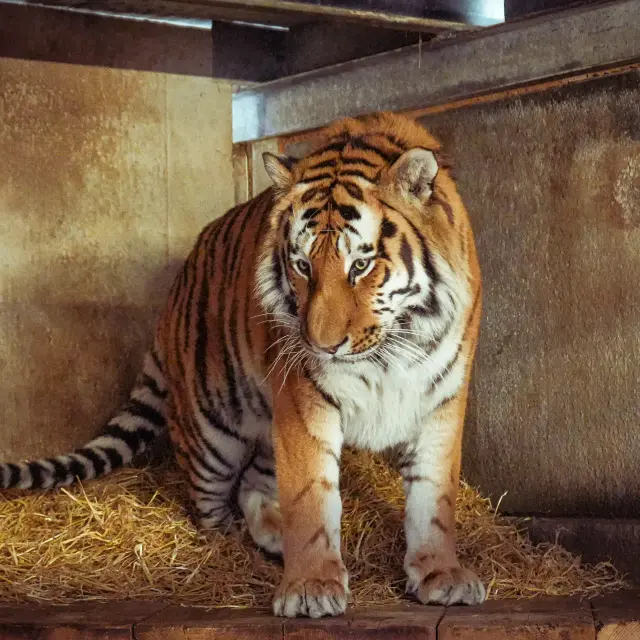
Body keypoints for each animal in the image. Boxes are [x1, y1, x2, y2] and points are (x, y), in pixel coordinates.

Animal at [0, 112, 484, 617]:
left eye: (361, 265)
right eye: (302, 266)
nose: (322, 346)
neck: (391, 350)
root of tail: (174, 293)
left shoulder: (441, 398)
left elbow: (433, 496)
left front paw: (441, 574)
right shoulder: (304, 400)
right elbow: (310, 496)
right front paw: (311, 586)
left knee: (254, 483)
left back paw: (273, 535)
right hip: (212, 431)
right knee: (209, 501)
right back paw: (236, 537)